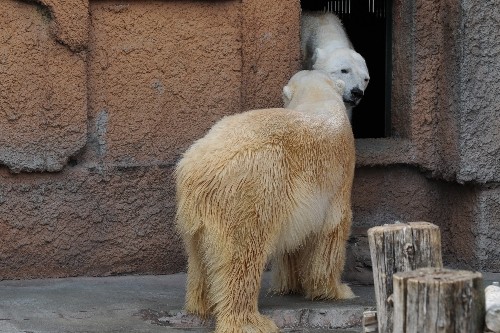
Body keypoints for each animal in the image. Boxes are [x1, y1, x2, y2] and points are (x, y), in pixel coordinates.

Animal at [176, 70, 356, 332]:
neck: (317, 98)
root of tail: (194, 169)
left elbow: (294, 241)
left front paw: (290, 285)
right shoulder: (338, 176)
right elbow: (332, 231)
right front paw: (338, 290)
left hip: (195, 214)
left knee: (199, 255)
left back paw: (201, 304)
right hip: (252, 190)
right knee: (244, 255)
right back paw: (250, 321)